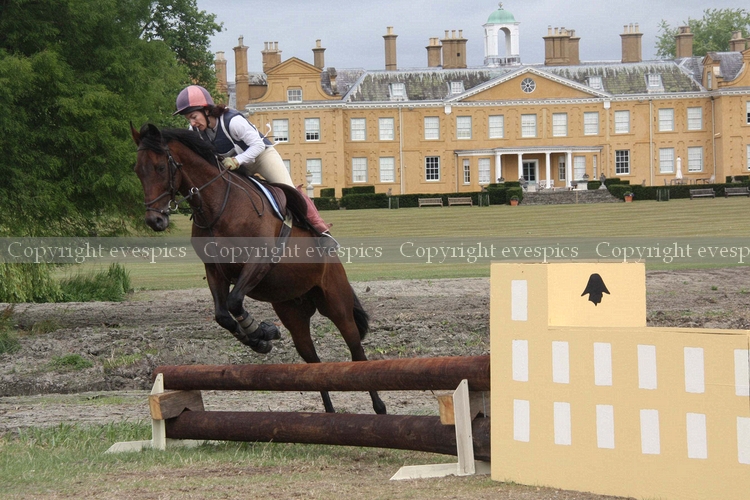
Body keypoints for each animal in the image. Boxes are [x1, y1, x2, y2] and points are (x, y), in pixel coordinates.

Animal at [131, 123, 386, 415]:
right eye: (138, 170)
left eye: (161, 167)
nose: (155, 220)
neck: (218, 206)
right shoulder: (215, 270)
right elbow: (223, 314)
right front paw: (260, 338)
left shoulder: (258, 261)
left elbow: (234, 301)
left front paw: (261, 331)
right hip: (293, 311)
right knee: (312, 360)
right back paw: (330, 415)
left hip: (336, 303)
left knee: (356, 351)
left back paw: (379, 407)